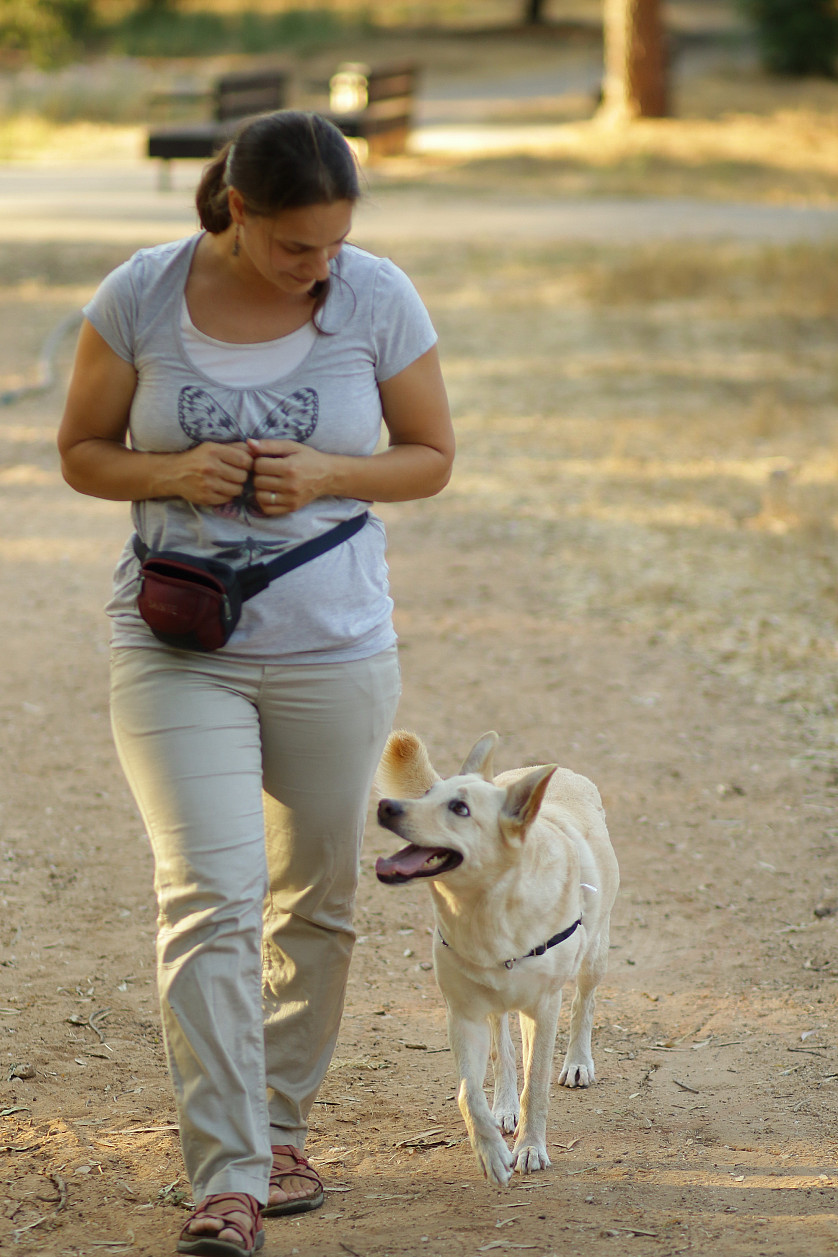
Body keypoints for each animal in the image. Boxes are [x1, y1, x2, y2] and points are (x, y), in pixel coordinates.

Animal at [376, 734, 620, 1181]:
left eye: (460, 808)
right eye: (426, 795)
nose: (387, 807)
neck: (486, 911)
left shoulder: (545, 1007)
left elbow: (536, 1083)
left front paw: (531, 1148)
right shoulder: (463, 1013)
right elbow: (468, 1091)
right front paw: (490, 1150)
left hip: (593, 958)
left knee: (584, 1003)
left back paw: (578, 1063)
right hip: (494, 1004)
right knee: (502, 1050)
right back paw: (504, 1107)